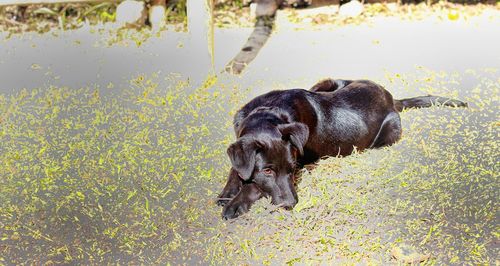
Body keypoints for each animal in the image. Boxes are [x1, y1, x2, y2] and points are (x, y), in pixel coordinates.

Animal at [217, 78, 466, 219]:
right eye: (267, 171)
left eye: (293, 169)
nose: (291, 204)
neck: (268, 111)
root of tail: (391, 98)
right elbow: (237, 168)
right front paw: (228, 191)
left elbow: (253, 185)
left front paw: (235, 203)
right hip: (328, 82)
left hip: (389, 133)